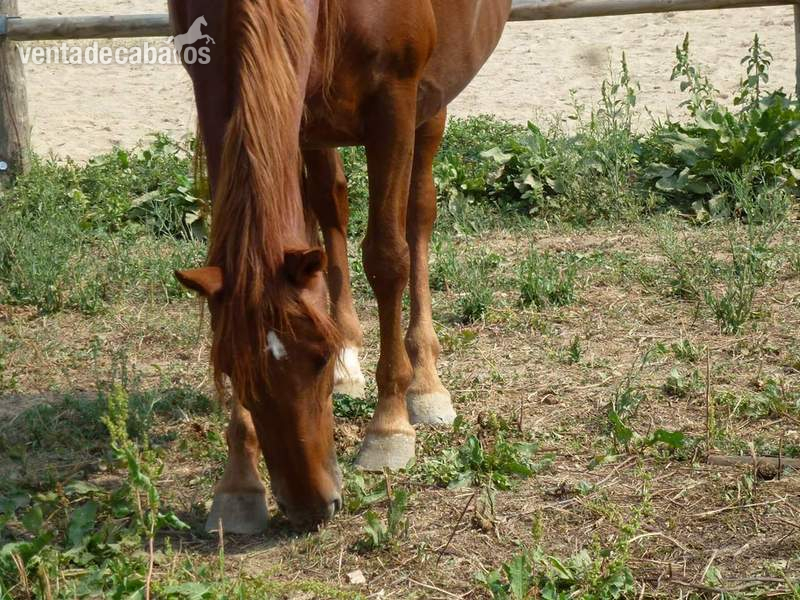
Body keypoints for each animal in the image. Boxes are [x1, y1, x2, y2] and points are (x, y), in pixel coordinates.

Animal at [168, 0, 512, 532]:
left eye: (318, 359)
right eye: (229, 368)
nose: (310, 508)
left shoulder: (395, 100)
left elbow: (388, 257)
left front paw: (388, 426)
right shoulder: (216, 96)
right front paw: (238, 483)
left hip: (430, 100)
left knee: (419, 213)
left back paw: (425, 381)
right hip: (313, 116)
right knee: (329, 206)